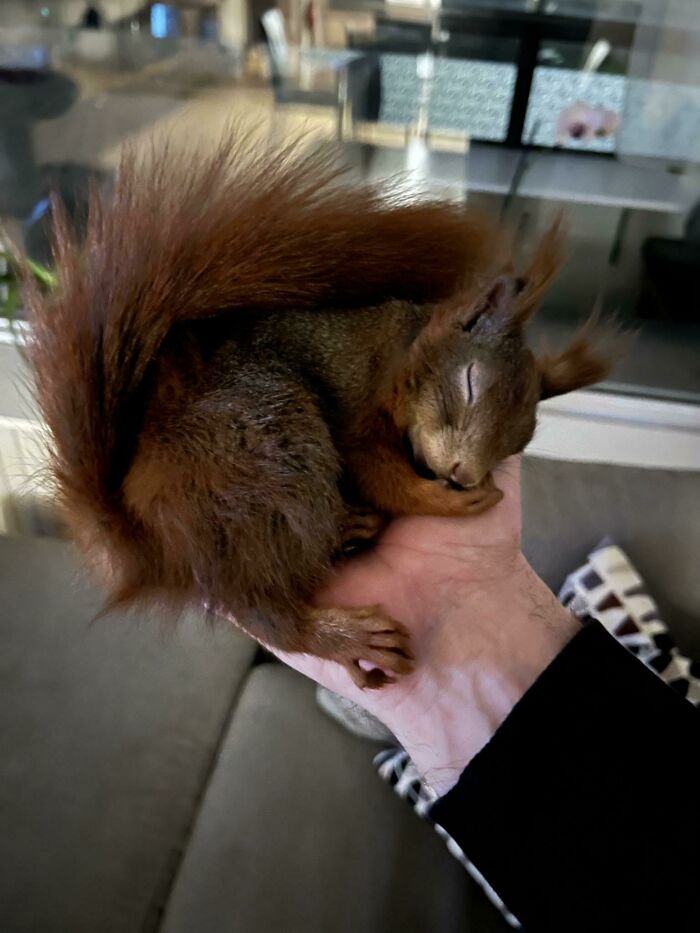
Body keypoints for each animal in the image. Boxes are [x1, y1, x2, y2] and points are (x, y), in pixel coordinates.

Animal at [28, 136, 612, 688]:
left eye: (519, 441)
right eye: (469, 382)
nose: (463, 473)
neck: (401, 352)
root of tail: (145, 532)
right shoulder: (357, 405)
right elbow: (379, 474)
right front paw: (447, 501)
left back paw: (352, 531)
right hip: (268, 438)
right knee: (263, 611)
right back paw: (342, 631)